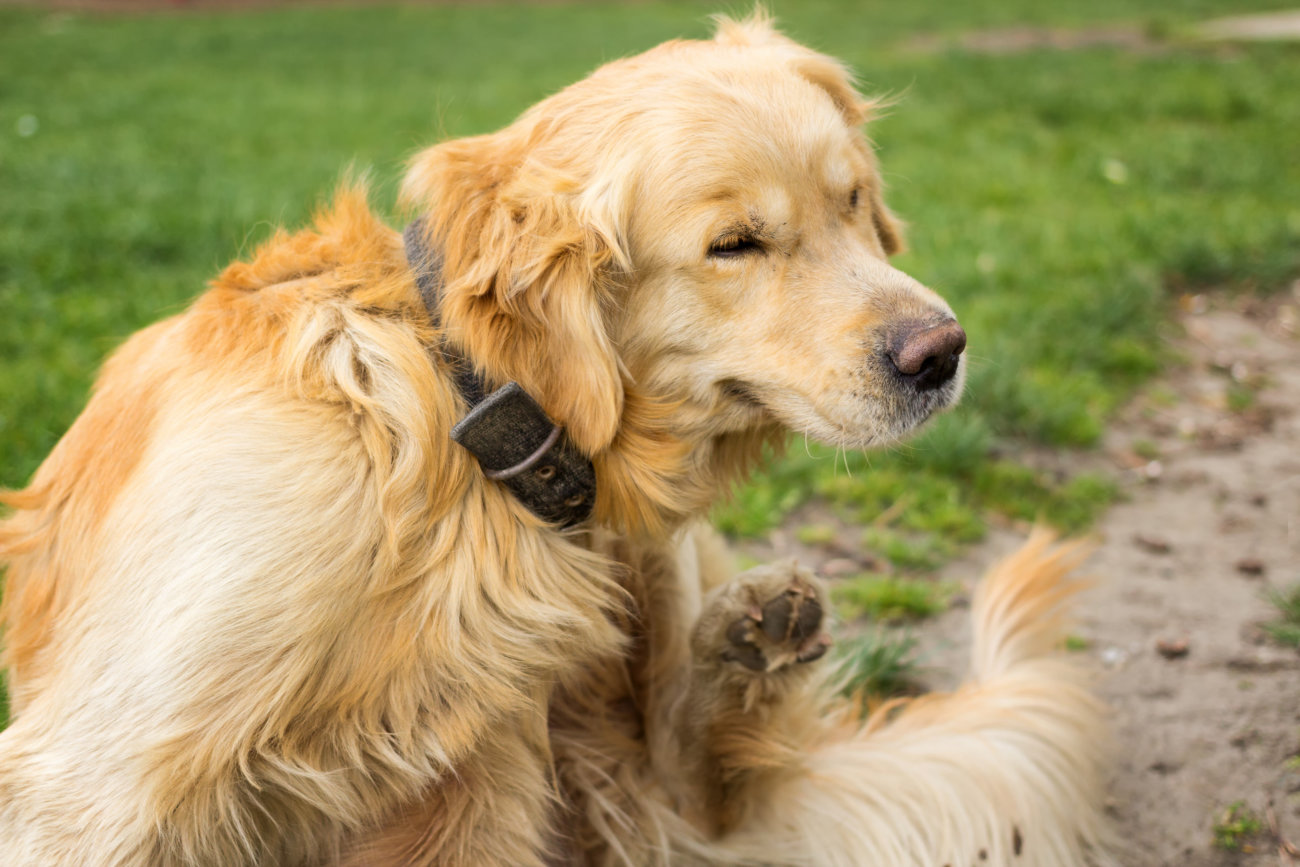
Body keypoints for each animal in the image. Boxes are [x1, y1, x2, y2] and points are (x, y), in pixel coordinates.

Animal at [0, 13, 1107, 867]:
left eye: (853, 202)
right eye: (733, 246)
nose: (941, 353)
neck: (459, 409)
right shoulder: (91, 780)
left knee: (692, 788)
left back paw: (749, 640)